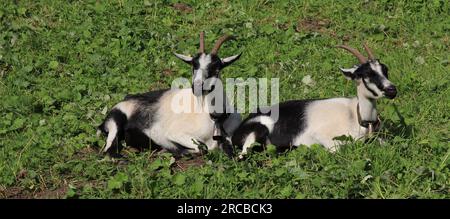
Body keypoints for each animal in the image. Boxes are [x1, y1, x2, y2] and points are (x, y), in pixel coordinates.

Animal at [97, 32, 243, 157]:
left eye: (216, 68)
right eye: (193, 65)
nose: (196, 87)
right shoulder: (175, 133)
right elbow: (202, 148)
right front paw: (173, 150)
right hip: (116, 120)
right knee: (108, 149)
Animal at [232, 42, 398, 158]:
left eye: (385, 70)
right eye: (366, 74)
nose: (392, 90)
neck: (355, 116)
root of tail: (237, 132)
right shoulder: (324, 137)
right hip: (257, 132)